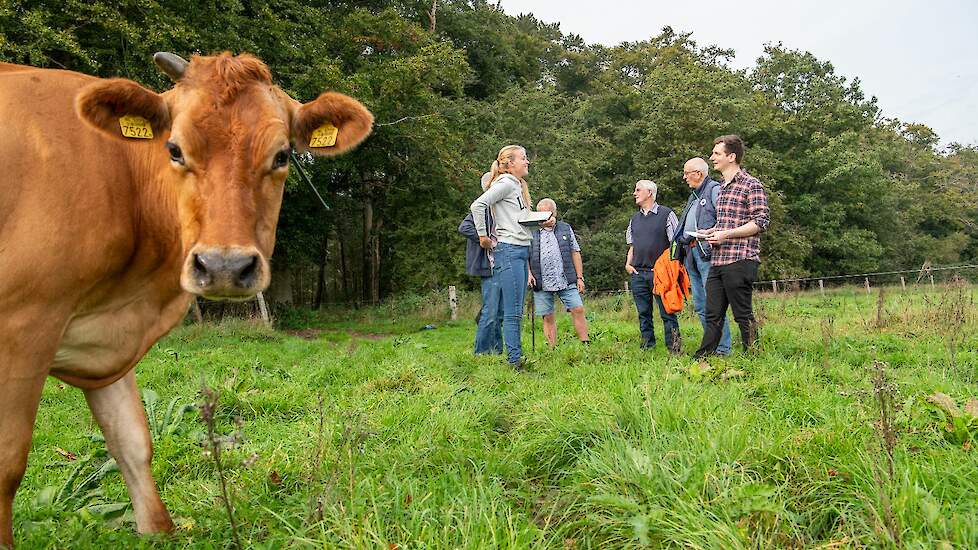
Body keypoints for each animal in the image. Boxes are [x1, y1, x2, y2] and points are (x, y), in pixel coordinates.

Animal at [0, 52, 374, 548]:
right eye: (174, 149)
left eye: (282, 155)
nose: (223, 266)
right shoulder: (24, 324)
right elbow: (8, 462)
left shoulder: (103, 341)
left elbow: (132, 441)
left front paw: (157, 531)